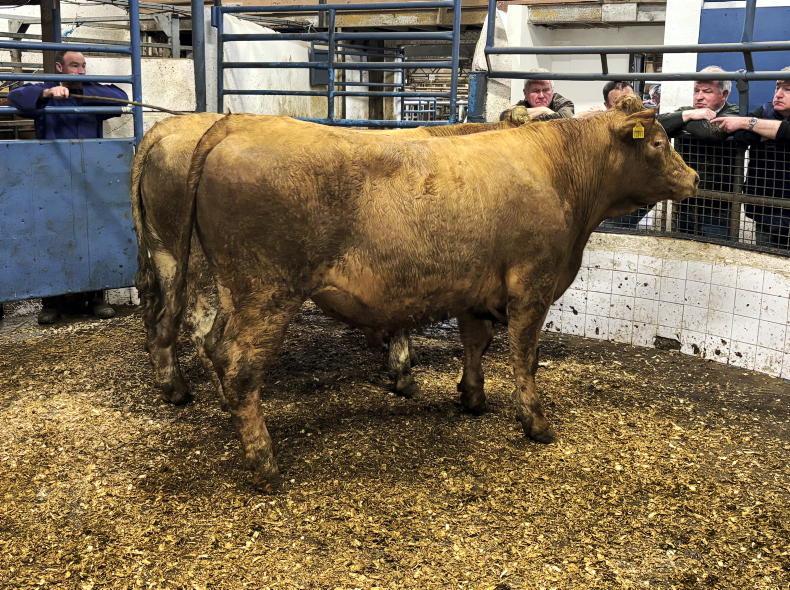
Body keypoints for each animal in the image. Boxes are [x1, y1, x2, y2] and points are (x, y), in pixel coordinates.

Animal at [131, 109, 533, 407]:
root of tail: (169, 128)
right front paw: (403, 373)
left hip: (164, 252)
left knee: (161, 316)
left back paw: (175, 388)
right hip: (200, 264)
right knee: (198, 324)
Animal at [174, 95, 697, 490]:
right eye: (657, 143)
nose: (693, 177)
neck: (559, 171)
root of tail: (235, 125)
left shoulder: (475, 287)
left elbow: (475, 344)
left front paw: (472, 397)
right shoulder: (533, 285)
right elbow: (524, 358)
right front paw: (536, 424)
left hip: (235, 290)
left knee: (216, 345)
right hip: (267, 292)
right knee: (242, 369)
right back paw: (265, 464)